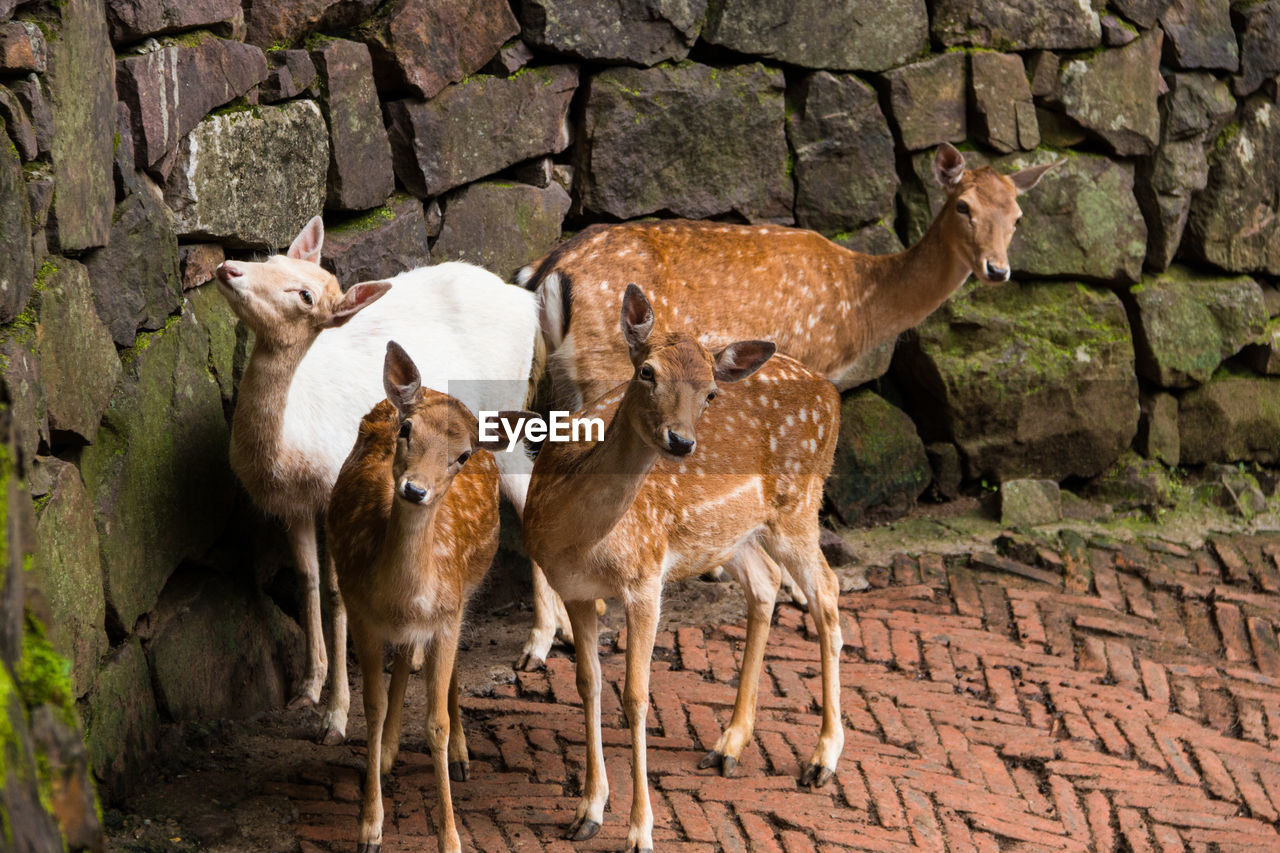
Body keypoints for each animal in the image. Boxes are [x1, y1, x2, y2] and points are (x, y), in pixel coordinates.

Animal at [327, 340, 517, 850]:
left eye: (463, 455)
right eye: (407, 428)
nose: (415, 490)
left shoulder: (447, 615)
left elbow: (435, 723)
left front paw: (451, 838)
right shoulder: (360, 611)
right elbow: (371, 709)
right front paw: (370, 827)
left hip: (467, 590)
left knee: (442, 672)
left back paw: (462, 756)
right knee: (403, 656)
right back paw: (389, 755)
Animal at [519, 286, 839, 850]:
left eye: (710, 393)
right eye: (647, 372)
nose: (681, 441)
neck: (575, 537)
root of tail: (835, 394)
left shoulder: (645, 577)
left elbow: (636, 696)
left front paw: (639, 831)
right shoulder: (575, 589)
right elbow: (588, 683)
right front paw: (588, 811)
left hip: (798, 504)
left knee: (827, 593)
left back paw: (822, 759)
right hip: (731, 533)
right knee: (767, 583)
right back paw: (730, 743)